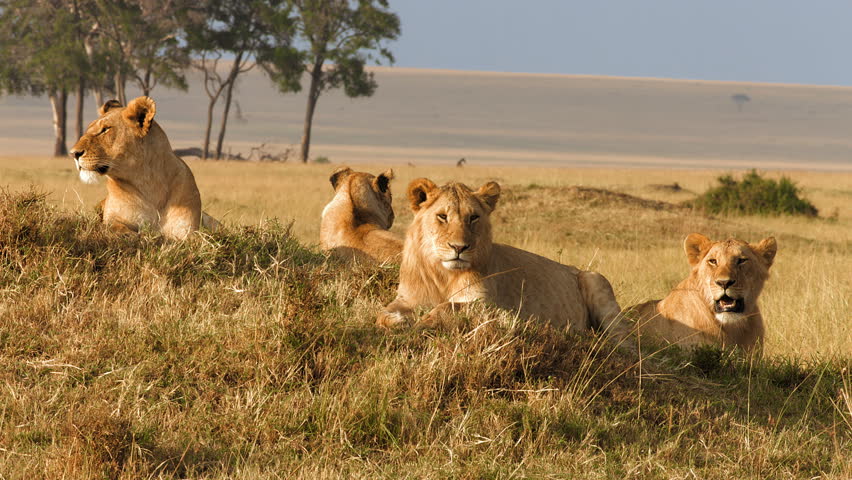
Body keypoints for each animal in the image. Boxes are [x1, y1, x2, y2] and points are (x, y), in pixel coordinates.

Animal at [69, 97, 219, 240]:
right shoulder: (113, 218)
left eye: (105, 129)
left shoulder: (187, 230)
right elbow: (117, 227)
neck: (149, 183)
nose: (73, 153)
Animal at [376, 178, 628, 338]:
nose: (459, 247)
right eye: (442, 217)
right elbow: (383, 313)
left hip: (596, 281)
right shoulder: (407, 298)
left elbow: (448, 307)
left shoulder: (492, 306)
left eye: (473, 217)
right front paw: (397, 321)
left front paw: (423, 324)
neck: (443, 275)